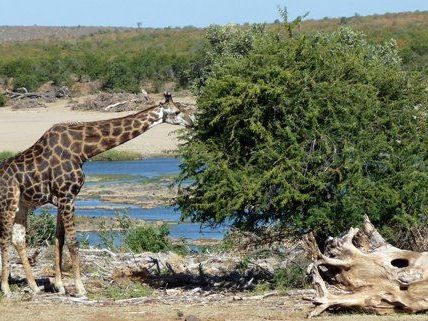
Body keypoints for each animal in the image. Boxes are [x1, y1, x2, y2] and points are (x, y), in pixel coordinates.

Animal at [0, 92, 192, 296]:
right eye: (177, 111)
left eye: (184, 108)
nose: (191, 121)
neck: (83, 150)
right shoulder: (67, 196)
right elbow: (73, 242)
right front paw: (80, 288)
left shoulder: (64, 198)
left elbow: (59, 239)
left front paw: (60, 286)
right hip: (8, 201)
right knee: (4, 238)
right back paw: (6, 288)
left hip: (22, 206)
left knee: (18, 239)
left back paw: (34, 286)